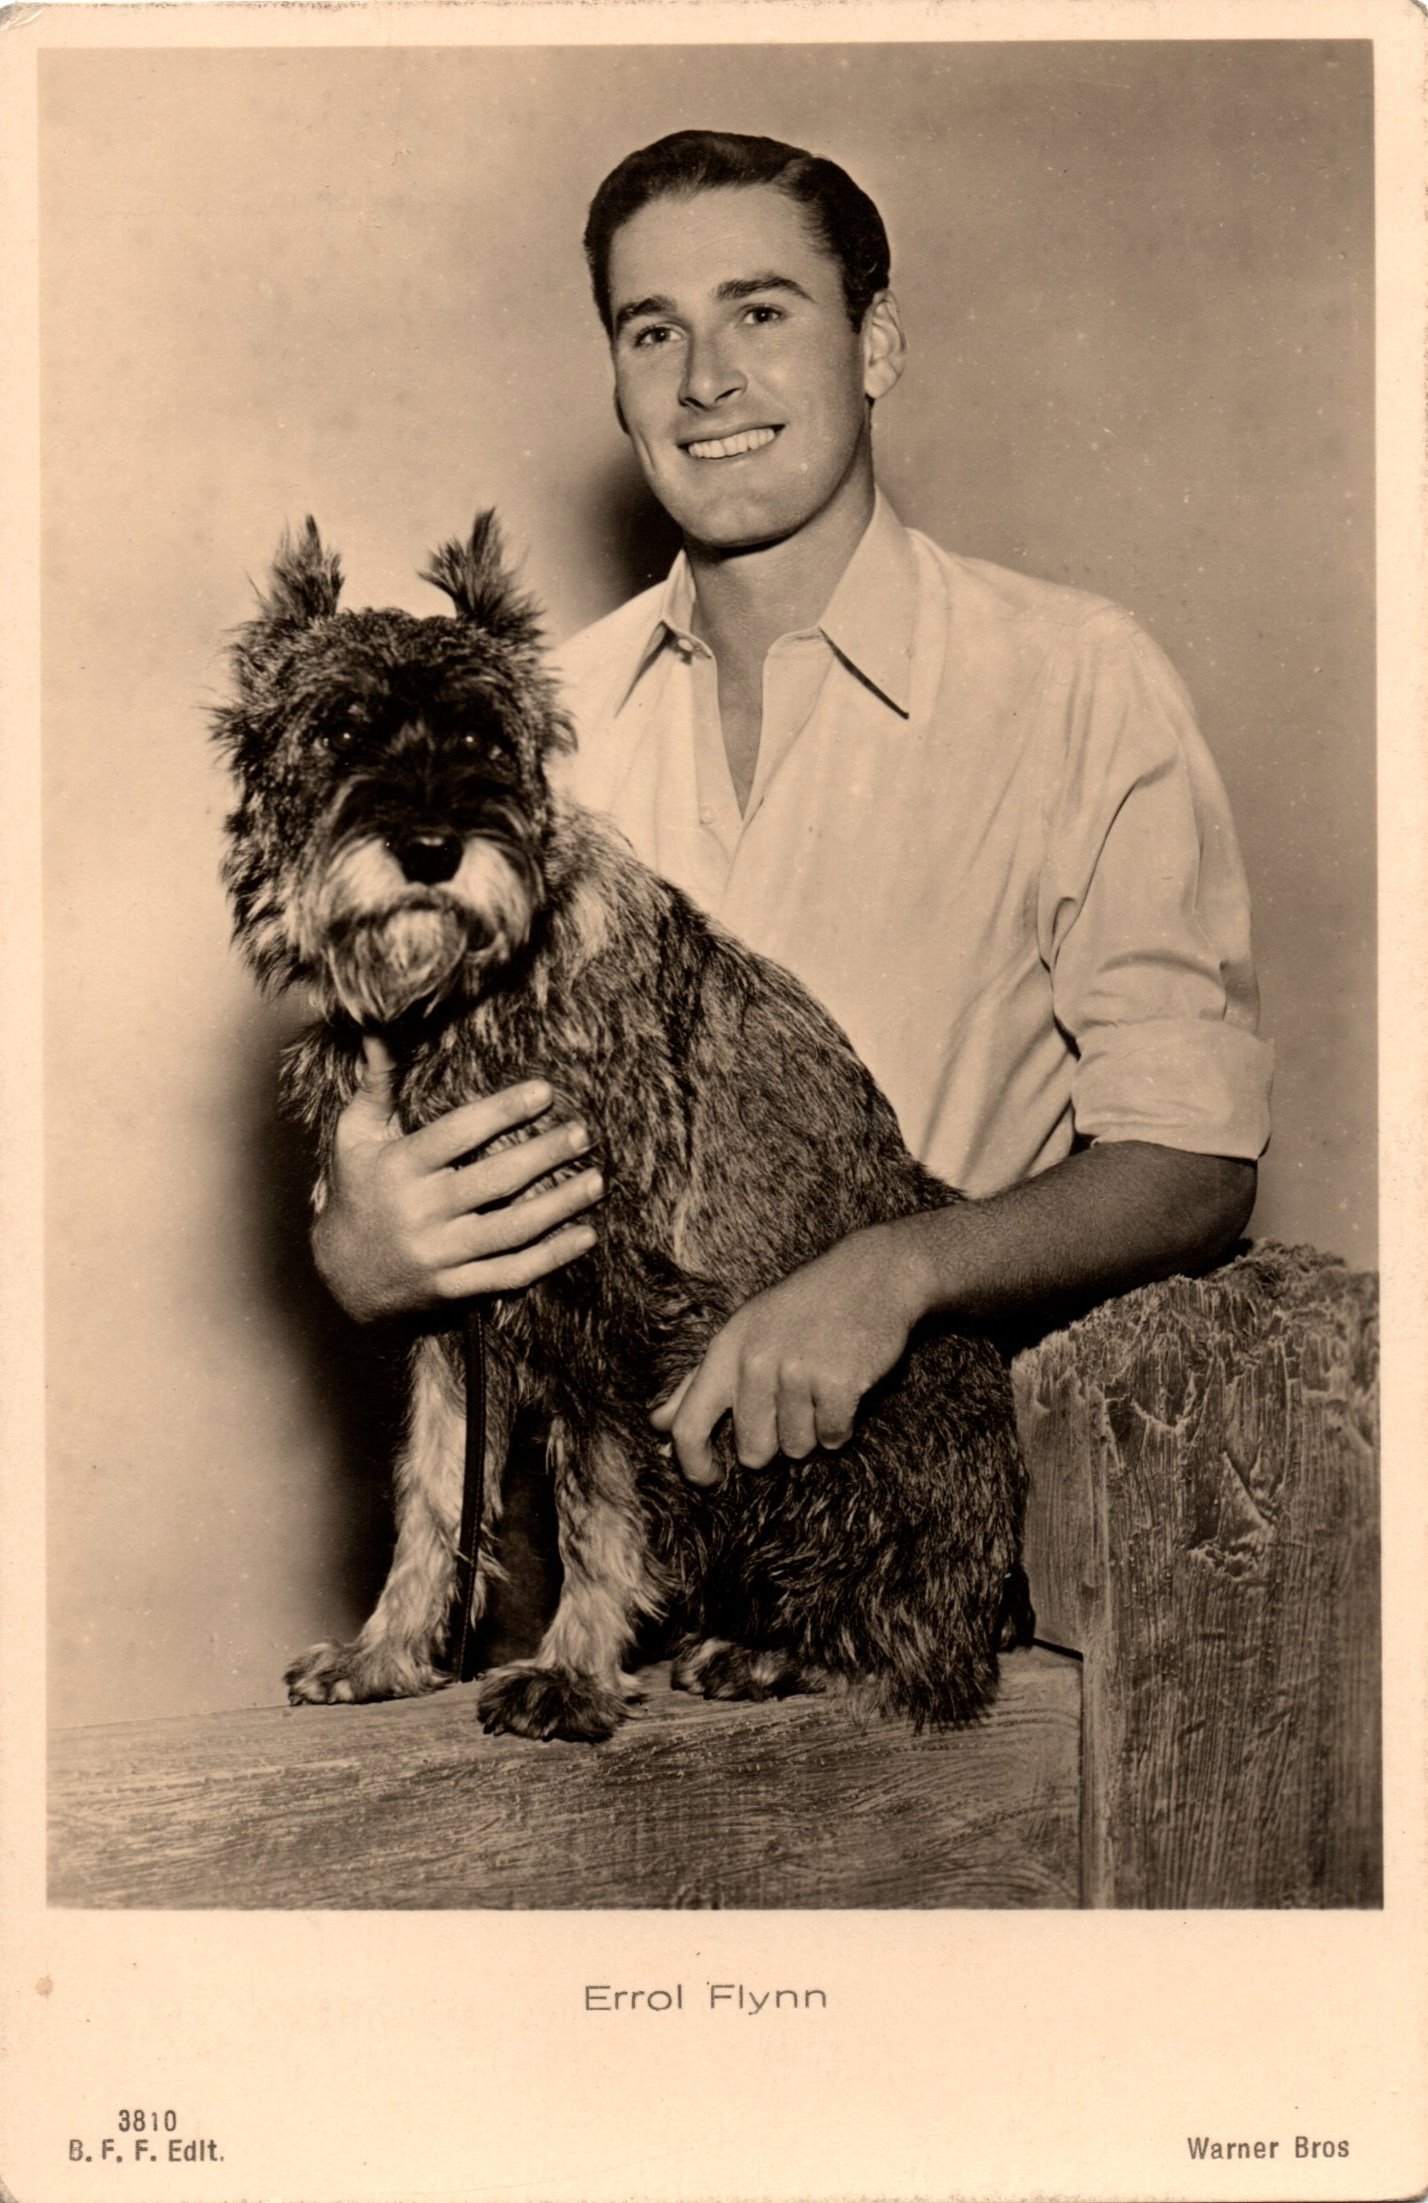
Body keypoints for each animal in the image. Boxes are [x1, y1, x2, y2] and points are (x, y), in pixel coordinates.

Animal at [215, 513, 1031, 1743]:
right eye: (339, 727)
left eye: (483, 733)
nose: (431, 845)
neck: (465, 1002)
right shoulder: (451, 1299)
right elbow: (432, 1487)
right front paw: (388, 1652)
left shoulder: (612, 1299)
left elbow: (597, 1503)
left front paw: (573, 1672)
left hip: (846, 1415)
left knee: (918, 1645)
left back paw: (782, 1651)